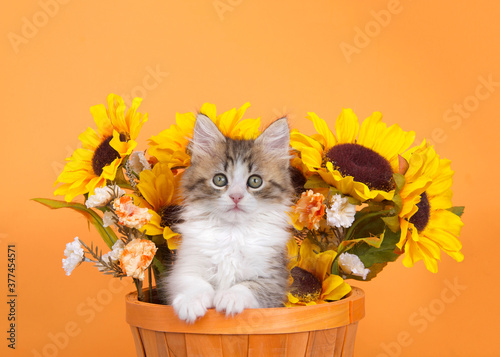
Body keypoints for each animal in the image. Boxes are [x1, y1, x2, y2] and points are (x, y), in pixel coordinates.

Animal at [162, 113, 292, 322]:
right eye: (219, 179)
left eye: (255, 181)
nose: (236, 196)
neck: (232, 232)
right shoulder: (184, 267)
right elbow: (194, 283)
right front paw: (191, 303)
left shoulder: (273, 280)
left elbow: (248, 286)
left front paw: (230, 297)